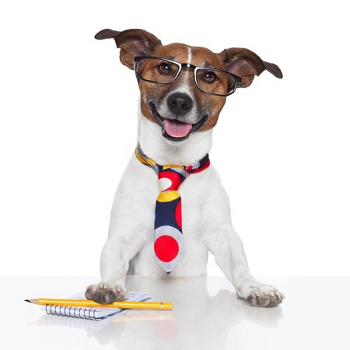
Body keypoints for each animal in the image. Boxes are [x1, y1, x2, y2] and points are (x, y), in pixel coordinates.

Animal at [86, 28, 286, 308]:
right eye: (164, 68)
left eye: (209, 76)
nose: (180, 101)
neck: (174, 163)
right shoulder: (121, 236)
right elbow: (113, 261)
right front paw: (109, 285)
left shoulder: (223, 235)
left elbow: (238, 262)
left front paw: (255, 286)